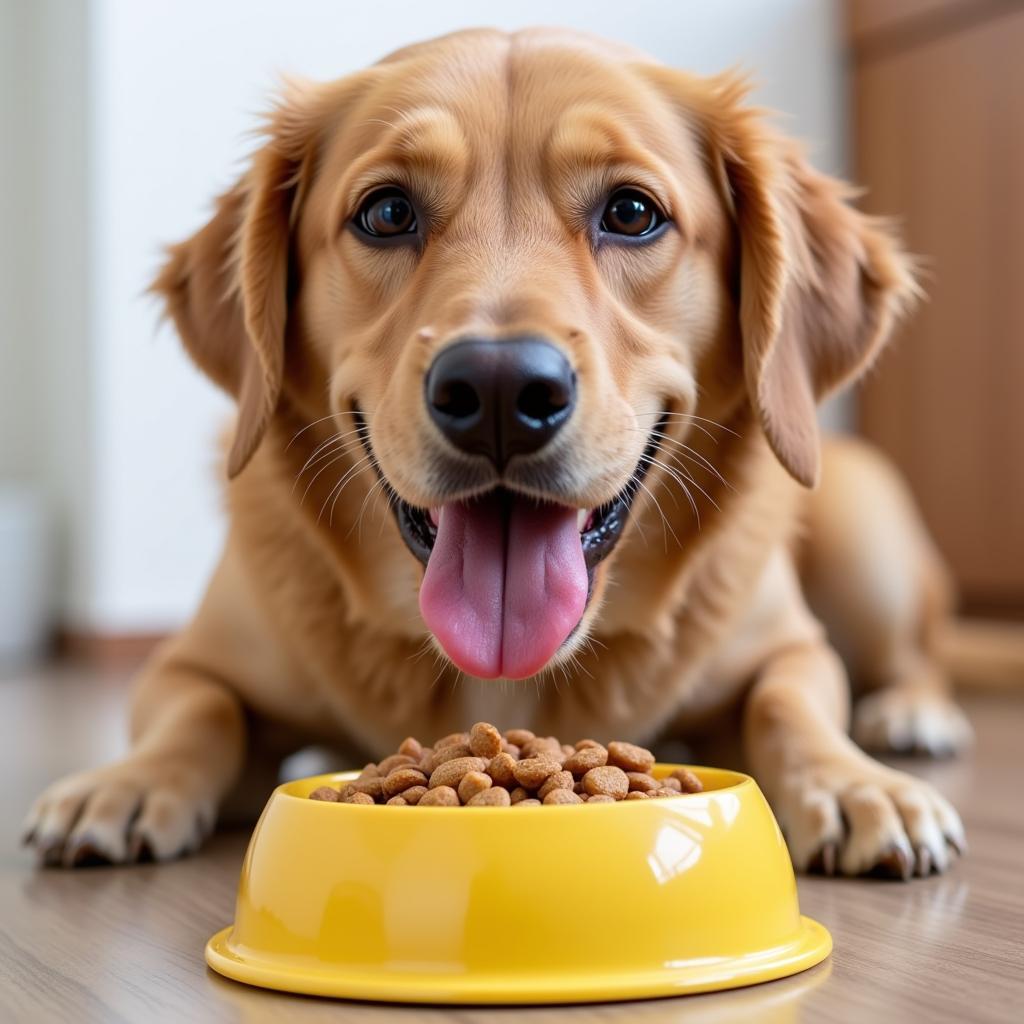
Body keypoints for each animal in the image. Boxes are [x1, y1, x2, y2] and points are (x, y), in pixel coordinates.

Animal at [22, 29, 966, 880]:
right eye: (387, 212)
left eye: (631, 212)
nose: (502, 391)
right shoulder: (193, 663)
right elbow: (196, 712)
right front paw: (126, 781)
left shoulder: (787, 649)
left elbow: (791, 703)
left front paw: (853, 783)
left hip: (866, 541)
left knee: (916, 654)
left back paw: (912, 718)